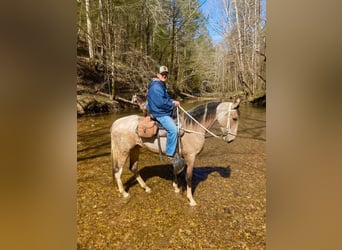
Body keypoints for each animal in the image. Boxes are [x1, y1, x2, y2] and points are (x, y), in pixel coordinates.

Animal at [110, 98, 240, 206]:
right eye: (235, 118)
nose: (231, 139)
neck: (192, 128)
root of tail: (116, 123)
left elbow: (177, 171)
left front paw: (176, 188)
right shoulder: (191, 157)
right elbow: (188, 177)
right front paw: (191, 200)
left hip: (135, 149)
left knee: (133, 168)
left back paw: (146, 188)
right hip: (123, 151)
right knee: (118, 171)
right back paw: (124, 193)